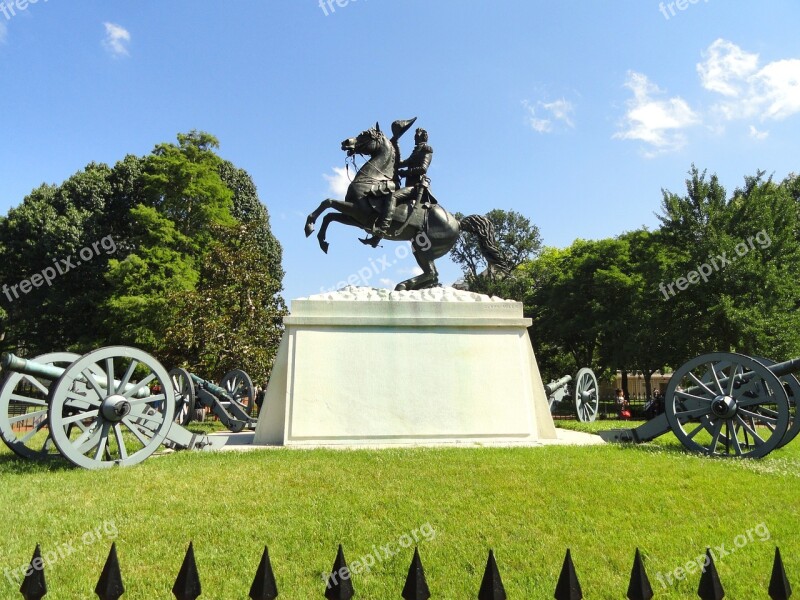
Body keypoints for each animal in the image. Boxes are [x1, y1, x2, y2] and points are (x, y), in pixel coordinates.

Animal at [306, 122, 506, 290]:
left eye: (365, 135)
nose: (346, 142)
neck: (372, 179)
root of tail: (458, 222)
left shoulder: (357, 210)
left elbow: (327, 202)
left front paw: (309, 226)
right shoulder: (356, 219)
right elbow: (329, 215)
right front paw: (322, 240)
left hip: (423, 247)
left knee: (432, 273)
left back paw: (403, 285)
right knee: (433, 275)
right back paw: (410, 286)